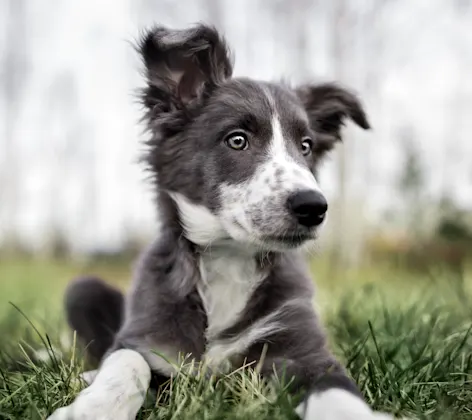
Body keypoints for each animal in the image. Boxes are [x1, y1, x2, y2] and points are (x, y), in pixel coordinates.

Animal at [48, 23, 398, 420]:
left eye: (305, 146)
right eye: (237, 140)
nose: (313, 207)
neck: (230, 258)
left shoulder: (303, 348)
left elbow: (334, 388)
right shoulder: (145, 336)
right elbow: (125, 361)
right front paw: (91, 408)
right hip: (83, 289)